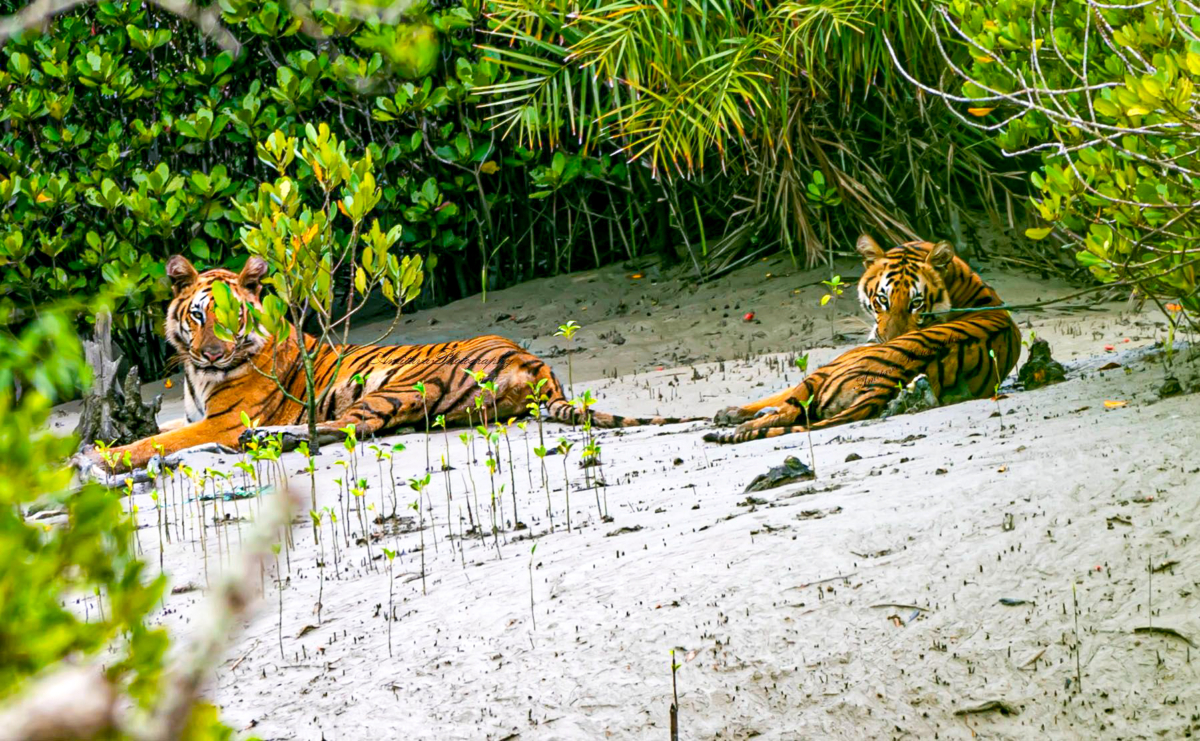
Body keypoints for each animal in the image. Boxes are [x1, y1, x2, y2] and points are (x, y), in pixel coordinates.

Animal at [88, 254, 700, 472]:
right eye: (197, 316)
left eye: (234, 317)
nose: (212, 352)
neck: (200, 373)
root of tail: (535, 361)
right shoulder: (198, 415)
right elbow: (164, 432)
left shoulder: (222, 420)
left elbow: (157, 441)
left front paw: (103, 459)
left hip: (400, 384)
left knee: (344, 428)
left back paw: (271, 439)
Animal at [700, 233, 1022, 441]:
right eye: (883, 299)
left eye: (916, 303)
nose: (889, 338)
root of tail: (879, 385)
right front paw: (730, 411)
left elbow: (782, 394)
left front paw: (734, 413)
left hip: (827, 370)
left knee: (789, 410)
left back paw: (746, 426)